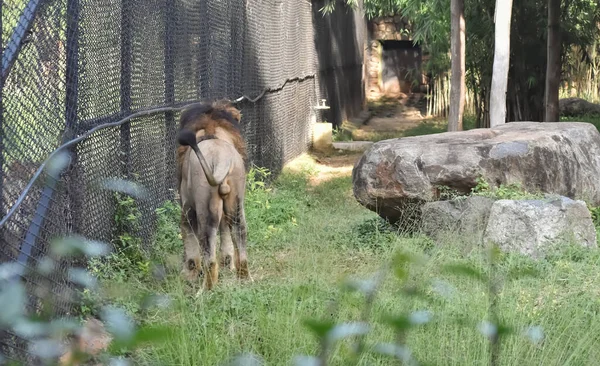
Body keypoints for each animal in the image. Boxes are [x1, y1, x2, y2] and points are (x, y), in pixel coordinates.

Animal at [176, 99, 251, 288]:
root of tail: (221, 157)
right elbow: (226, 241)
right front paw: (228, 265)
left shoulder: (187, 208)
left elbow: (190, 246)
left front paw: (189, 276)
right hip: (236, 206)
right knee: (240, 241)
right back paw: (245, 280)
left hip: (205, 207)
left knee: (210, 258)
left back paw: (205, 290)